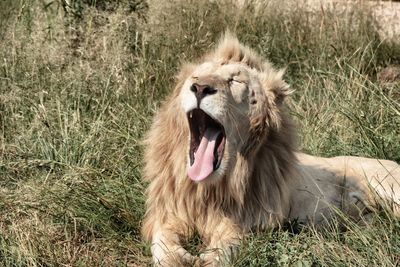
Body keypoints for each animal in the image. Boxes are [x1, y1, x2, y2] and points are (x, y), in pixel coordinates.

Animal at [141, 33, 400, 266]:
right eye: (195, 77)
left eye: (235, 81)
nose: (200, 87)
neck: (211, 188)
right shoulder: (170, 212)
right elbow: (161, 240)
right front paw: (174, 257)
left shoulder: (251, 221)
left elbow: (228, 244)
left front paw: (209, 258)